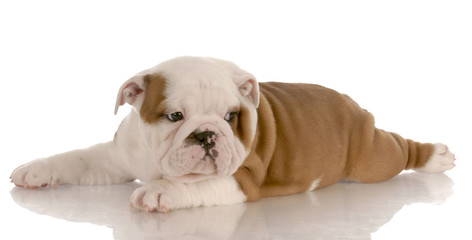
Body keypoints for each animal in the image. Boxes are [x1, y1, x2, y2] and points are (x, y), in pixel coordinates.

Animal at [11, 55, 456, 212]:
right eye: (174, 115)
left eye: (231, 116)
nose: (208, 134)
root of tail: (350, 102)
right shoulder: (115, 156)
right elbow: (78, 158)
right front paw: (36, 170)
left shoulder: (242, 179)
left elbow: (195, 185)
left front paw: (162, 192)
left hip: (371, 156)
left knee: (399, 149)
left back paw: (436, 154)